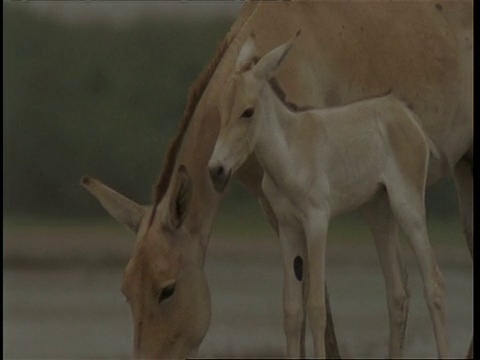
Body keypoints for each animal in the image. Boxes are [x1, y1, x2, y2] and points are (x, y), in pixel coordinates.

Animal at [208, 33, 448, 358]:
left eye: (248, 112)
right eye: (221, 110)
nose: (215, 170)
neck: (291, 153)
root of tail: (402, 111)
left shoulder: (316, 223)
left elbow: (316, 307)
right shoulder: (288, 228)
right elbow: (292, 311)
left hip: (407, 207)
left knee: (434, 284)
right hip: (378, 211)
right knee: (397, 292)